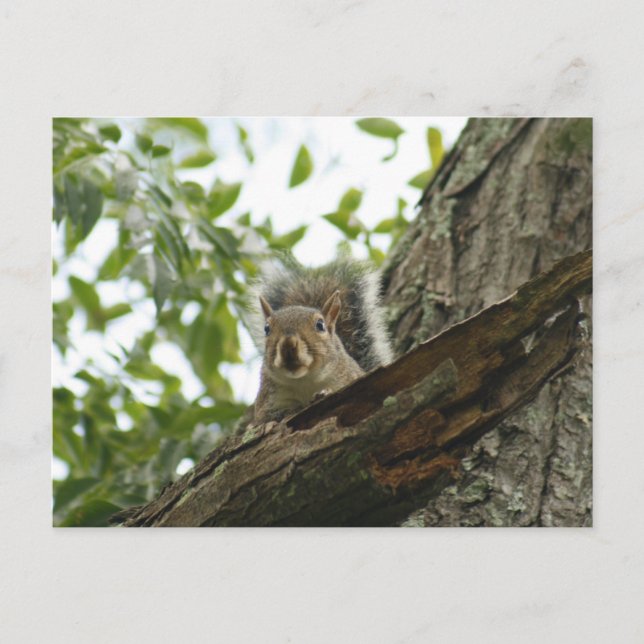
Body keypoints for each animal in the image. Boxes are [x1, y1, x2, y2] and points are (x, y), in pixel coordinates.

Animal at [250, 257, 393, 423]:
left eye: (320, 325)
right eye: (266, 328)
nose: (288, 344)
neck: (304, 382)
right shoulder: (268, 401)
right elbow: (266, 418)